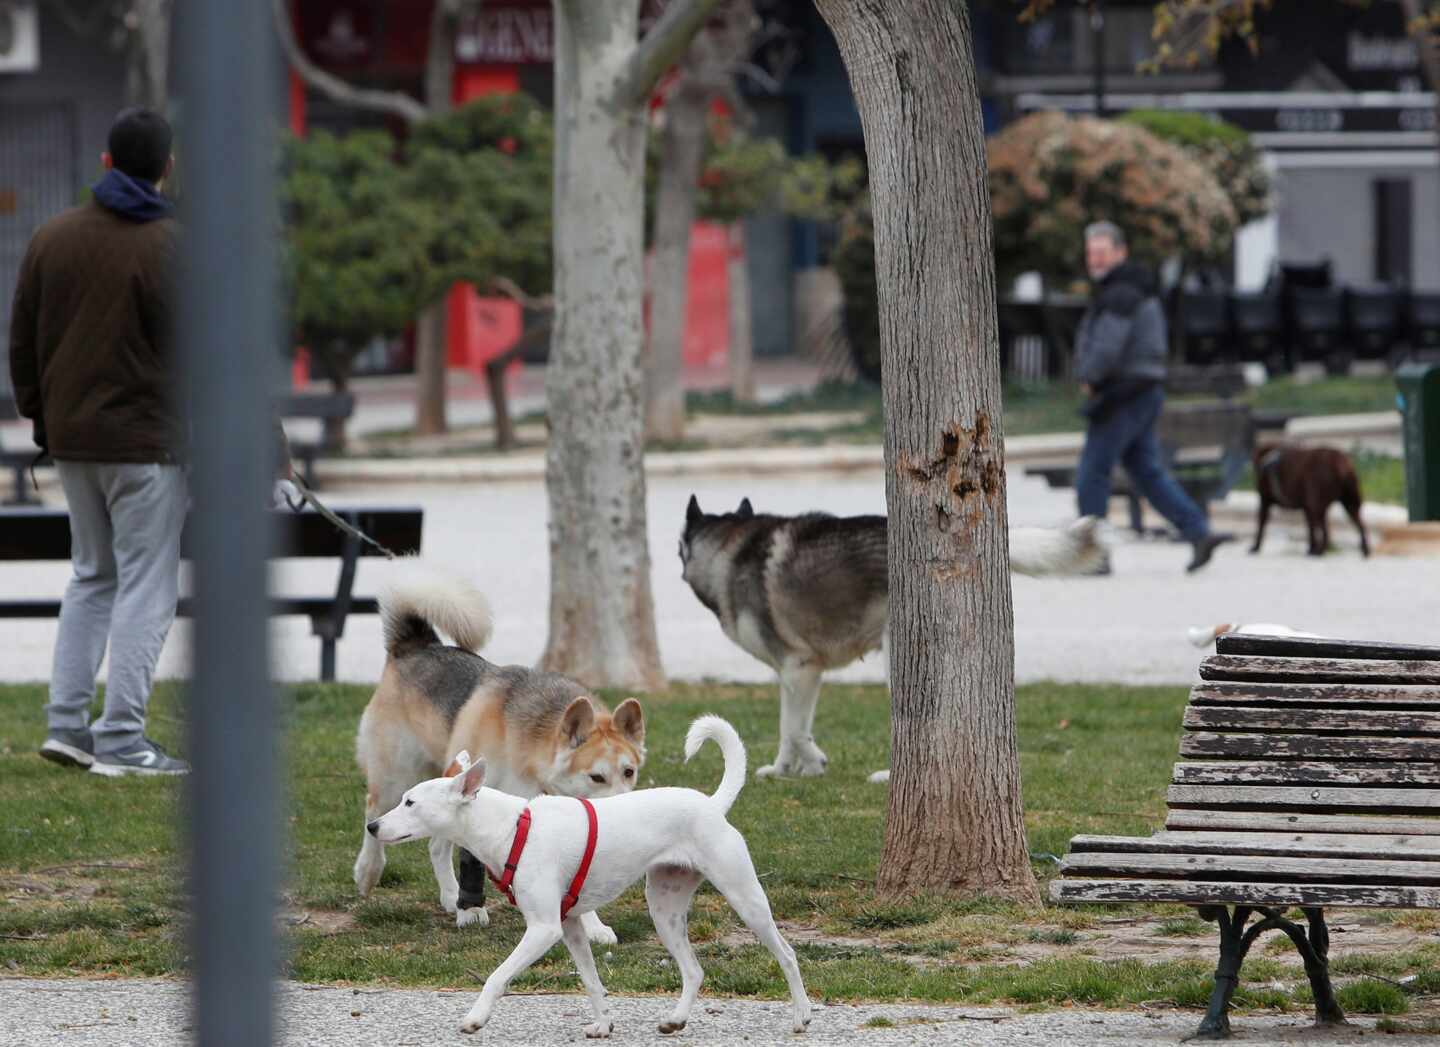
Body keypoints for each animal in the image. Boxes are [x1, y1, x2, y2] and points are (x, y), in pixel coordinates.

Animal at [351, 561, 645, 944]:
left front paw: (593, 925)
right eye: (596, 776)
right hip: (396, 776)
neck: (530, 749)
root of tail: (416, 644)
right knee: (374, 814)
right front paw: (471, 910)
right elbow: (471, 862)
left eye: (629, 772)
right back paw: (370, 871)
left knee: (436, 845)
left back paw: (449, 895)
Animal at [368, 717, 812, 1036]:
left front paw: (476, 1018)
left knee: (787, 955)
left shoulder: (544, 929)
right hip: (664, 910)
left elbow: (497, 976)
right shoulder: (570, 927)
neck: (512, 828)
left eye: (410, 802)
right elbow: (592, 981)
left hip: (745, 898)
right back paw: (675, 1020)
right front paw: (603, 1024)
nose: (372, 826)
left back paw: (802, 1016)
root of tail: (711, 805)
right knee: (693, 970)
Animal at [679, 498, 1105, 777]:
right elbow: (789, 727)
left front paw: (813, 762)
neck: (727, 552)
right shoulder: (797, 674)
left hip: (897, 664)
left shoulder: (800, 669)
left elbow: (797, 730)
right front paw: (784, 769)